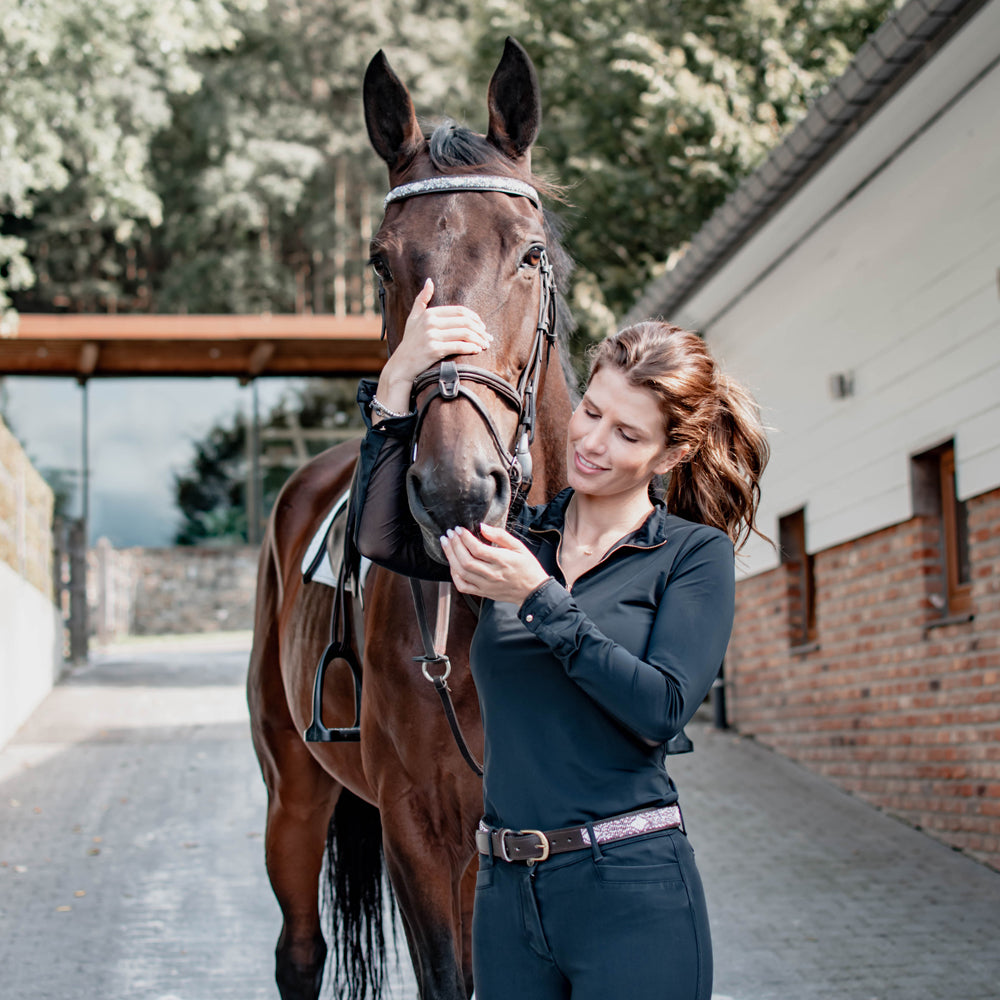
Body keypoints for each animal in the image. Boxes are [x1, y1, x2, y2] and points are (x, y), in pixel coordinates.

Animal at [246, 39, 576, 1000]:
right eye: (380, 262)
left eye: (529, 255)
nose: (457, 490)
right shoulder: (418, 834)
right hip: (293, 792)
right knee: (300, 951)